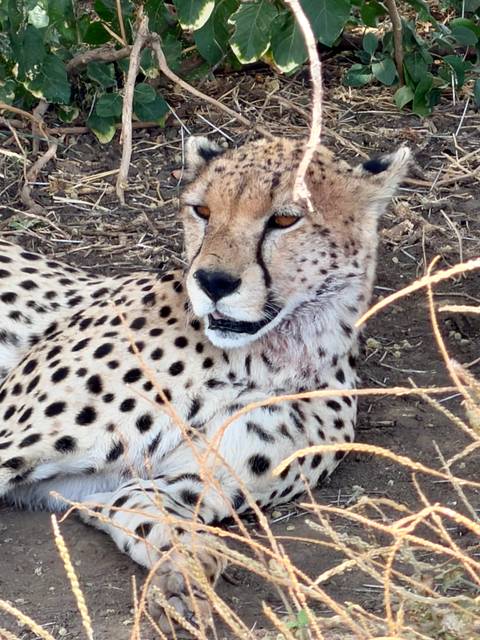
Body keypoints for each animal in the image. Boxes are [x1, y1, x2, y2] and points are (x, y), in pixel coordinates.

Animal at [0, 135, 410, 633]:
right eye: (202, 211)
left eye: (285, 219)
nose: (213, 281)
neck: (265, 357)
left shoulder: (152, 485)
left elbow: (152, 512)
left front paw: (183, 575)